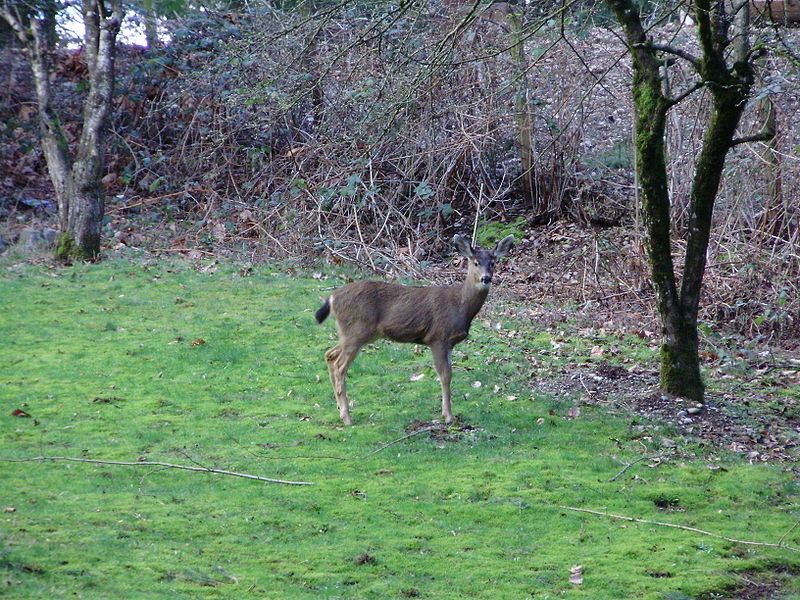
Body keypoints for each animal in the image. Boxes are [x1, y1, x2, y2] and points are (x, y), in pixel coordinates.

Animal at [312, 232, 512, 424]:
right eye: (475, 262)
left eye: (493, 262)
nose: (486, 278)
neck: (460, 306)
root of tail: (332, 298)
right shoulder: (437, 337)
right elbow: (445, 375)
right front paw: (448, 416)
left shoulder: (449, 343)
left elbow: (449, 374)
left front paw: (448, 413)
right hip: (356, 330)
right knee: (339, 366)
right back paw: (347, 417)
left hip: (352, 333)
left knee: (329, 355)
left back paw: (339, 409)